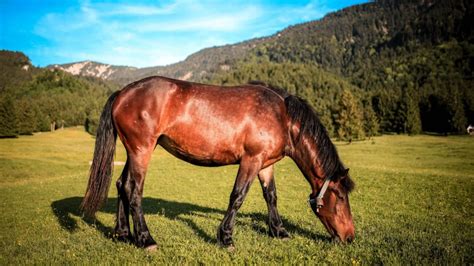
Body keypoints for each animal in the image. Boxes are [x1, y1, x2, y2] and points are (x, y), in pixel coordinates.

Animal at [80, 76, 356, 250]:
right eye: (341, 197)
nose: (350, 237)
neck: (282, 115)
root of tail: (123, 92)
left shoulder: (266, 164)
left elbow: (271, 196)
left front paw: (279, 231)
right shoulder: (251, 160)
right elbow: (238, 196)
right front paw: (226, 238)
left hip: (135, 151)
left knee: (121, 184)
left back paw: (123, 233)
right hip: (141, 151)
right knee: (134, 190)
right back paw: (146, 239)